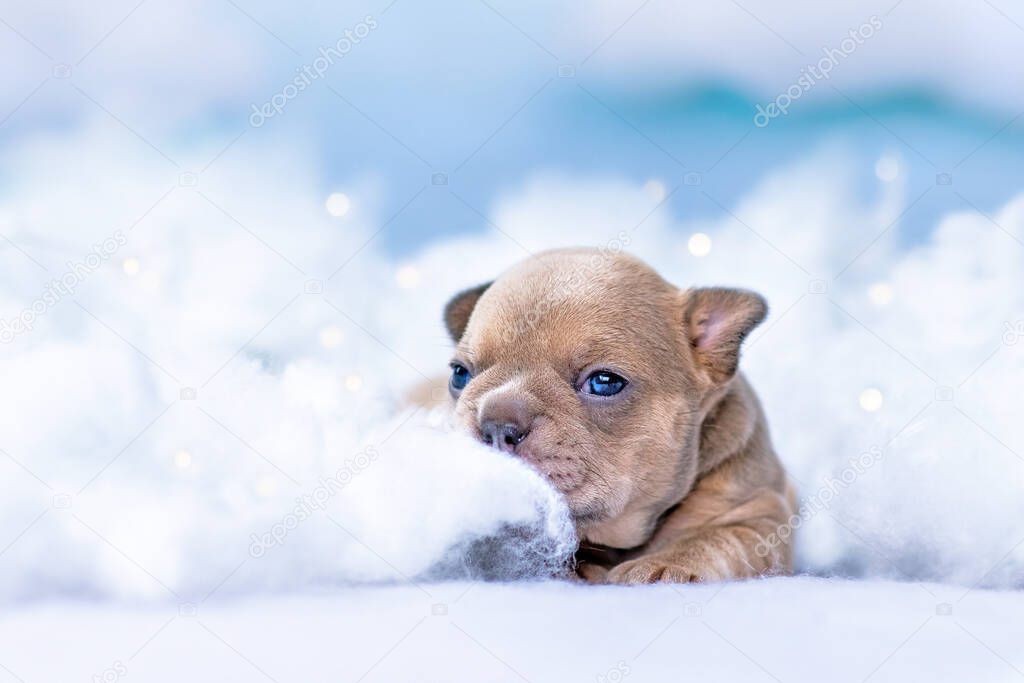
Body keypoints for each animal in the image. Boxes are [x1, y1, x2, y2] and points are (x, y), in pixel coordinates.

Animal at [436, 248, 794, 585]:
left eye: (604, 382)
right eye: (459, 375)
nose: (496, 425)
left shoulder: (761, 515)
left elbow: (718, 539)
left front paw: (665, 564)